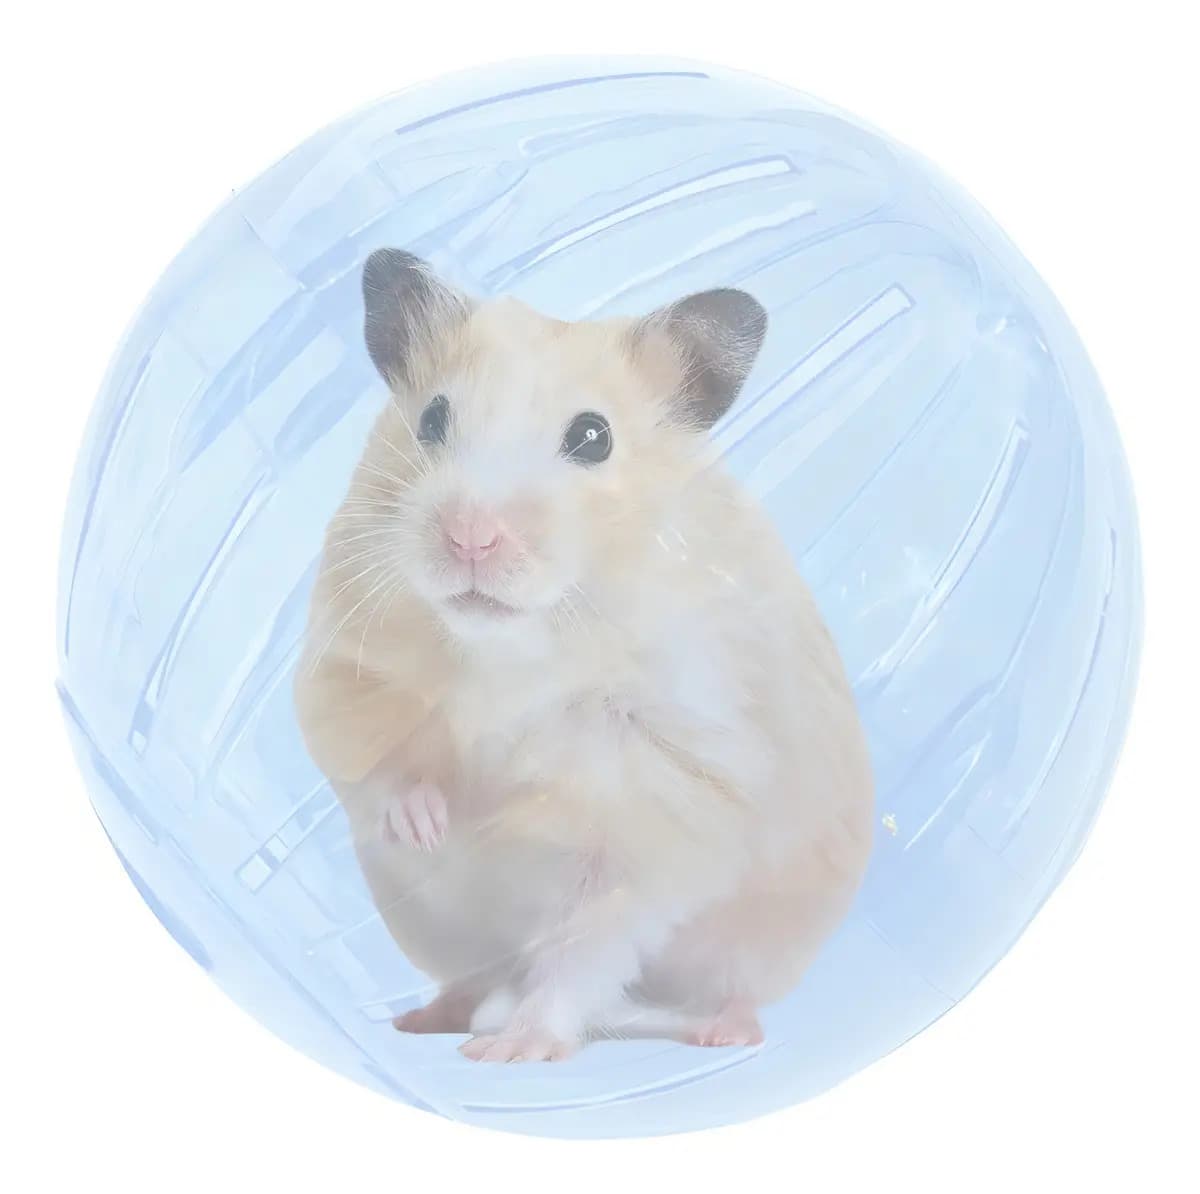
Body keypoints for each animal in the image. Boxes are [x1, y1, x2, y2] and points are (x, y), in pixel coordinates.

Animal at [293, 249, 874, 1062]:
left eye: (594, 437)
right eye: (432, 418)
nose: (470, 537)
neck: (515, 644)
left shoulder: (666, 800)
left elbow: (587, 945)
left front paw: (513, 1051)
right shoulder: (344, 665)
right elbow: (371, 767)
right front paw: (432, 824)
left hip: (758, 947)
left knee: (701, 993)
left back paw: (720, 1034)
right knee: (471, 978)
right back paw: (423, 1019)